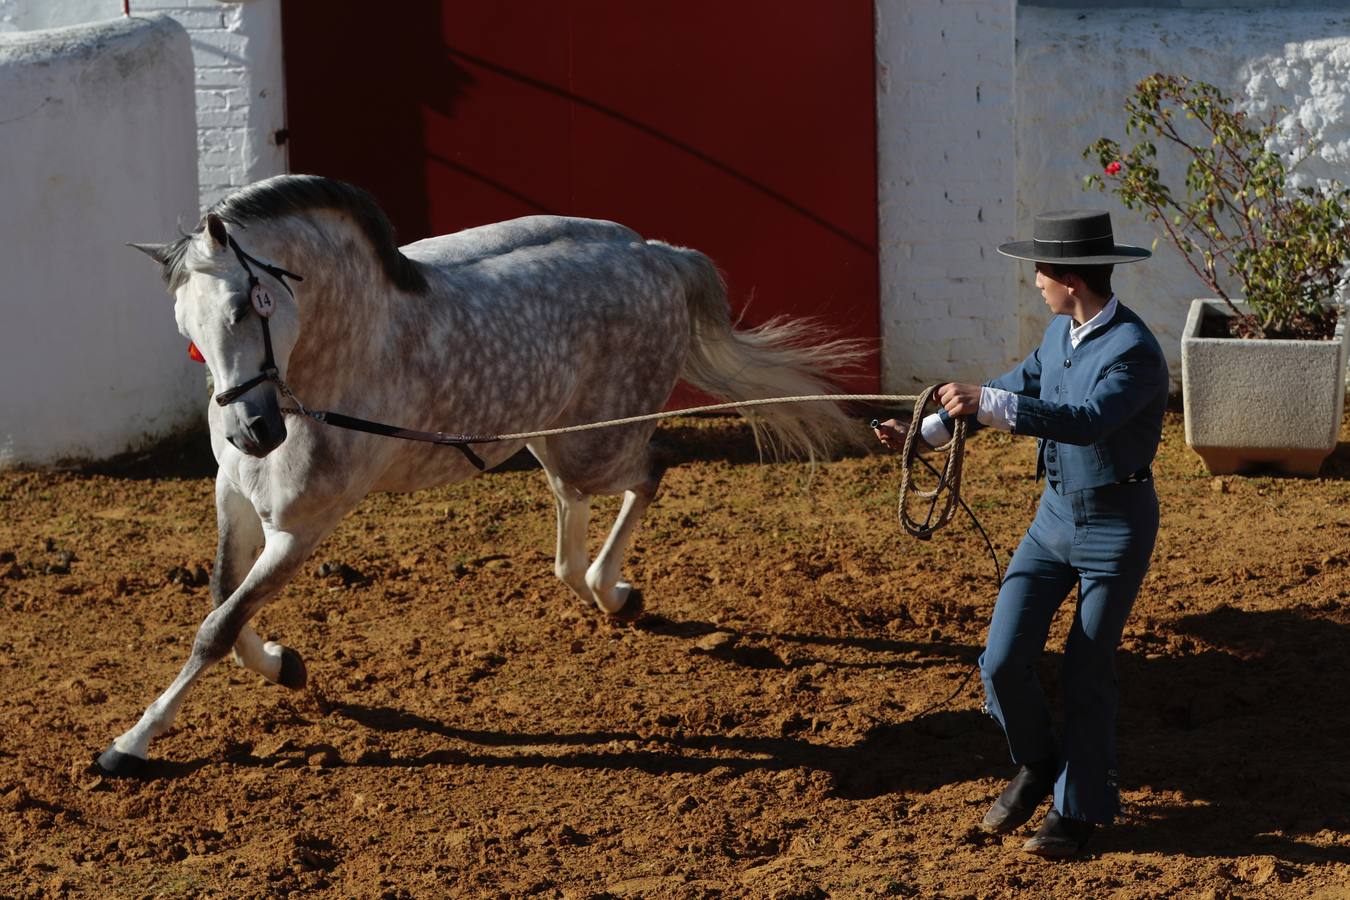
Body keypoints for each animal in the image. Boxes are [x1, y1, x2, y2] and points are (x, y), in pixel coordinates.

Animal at [98, 174, 863, 775]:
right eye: (185, 326)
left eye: (242, 307)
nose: (252, 433)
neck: (342, 353)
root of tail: (661, 257)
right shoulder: (235, 498)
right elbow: (223, 604)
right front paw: (285, 664)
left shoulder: (304, 528)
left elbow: (219, 625)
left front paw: (130, 745)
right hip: (553, 440)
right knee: (573, 516)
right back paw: (600, 590)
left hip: (597, 443)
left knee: (650, 470)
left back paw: (612, 592)